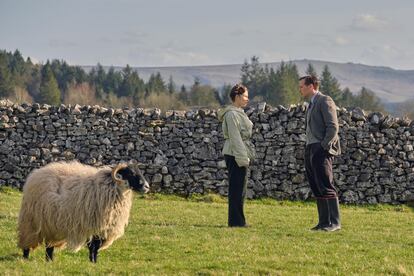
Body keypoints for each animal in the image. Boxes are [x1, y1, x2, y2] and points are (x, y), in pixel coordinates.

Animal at [18, 161, 150, 262]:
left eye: (139, 171)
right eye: (131, 173)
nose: (147, 186)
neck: (112, 187)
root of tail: (34, 175)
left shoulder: (102, 229)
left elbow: (95, 248)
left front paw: (94, 262)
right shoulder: (94, 226)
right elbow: (93, 248)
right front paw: (93, 262)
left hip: (51, 224)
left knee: (49, 246)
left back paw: (50, 261)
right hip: (31, 221)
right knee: (27, 241)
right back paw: (25, 258)